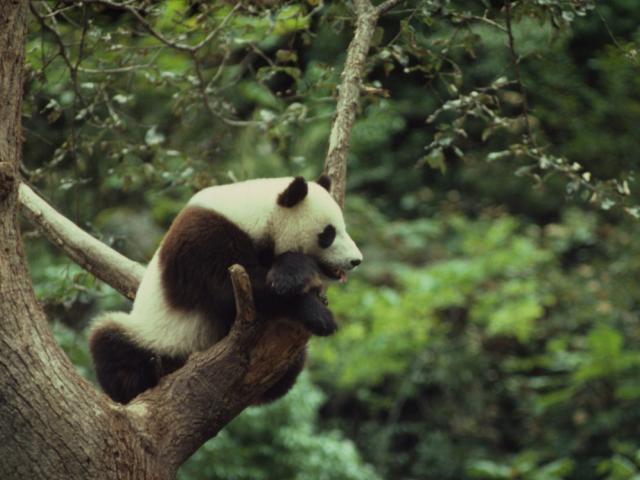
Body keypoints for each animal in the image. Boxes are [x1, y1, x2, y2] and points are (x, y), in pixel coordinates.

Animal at [88, 176, 363, 404]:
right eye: (328, 234)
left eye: (344, 228)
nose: (356, 260)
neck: (256, 212)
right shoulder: (204, 238)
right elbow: (229, 289)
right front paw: (316, 310)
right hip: (158, 336)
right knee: (110, 340)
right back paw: (137, 381)